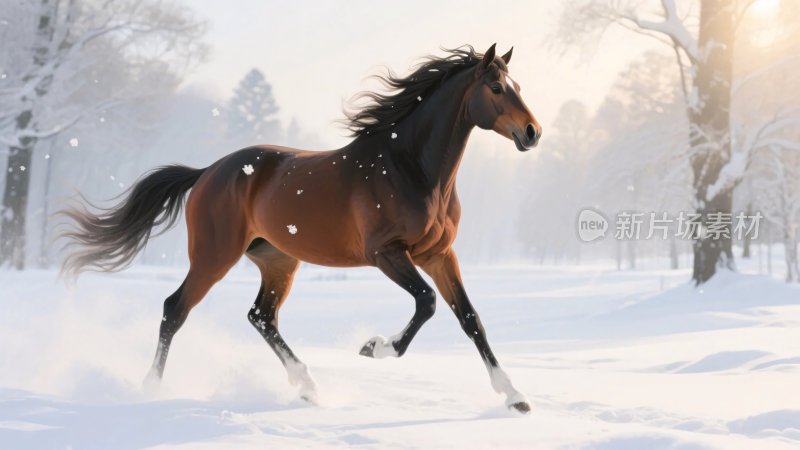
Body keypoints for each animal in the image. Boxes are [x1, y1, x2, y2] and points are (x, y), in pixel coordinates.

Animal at [61, 43, 542, 413]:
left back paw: (308, 387)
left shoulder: (439, 255)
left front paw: (515, 397)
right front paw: (374, 347)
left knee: (260, 316)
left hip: (278, 261)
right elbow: (426, 303)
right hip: (214, 257)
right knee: (174, 309)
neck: (411, 168)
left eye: (519, 87)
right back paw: (151, 389)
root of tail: (206, 172)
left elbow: (470, 318)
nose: (532, 132)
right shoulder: (386, 253)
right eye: (496, 88)